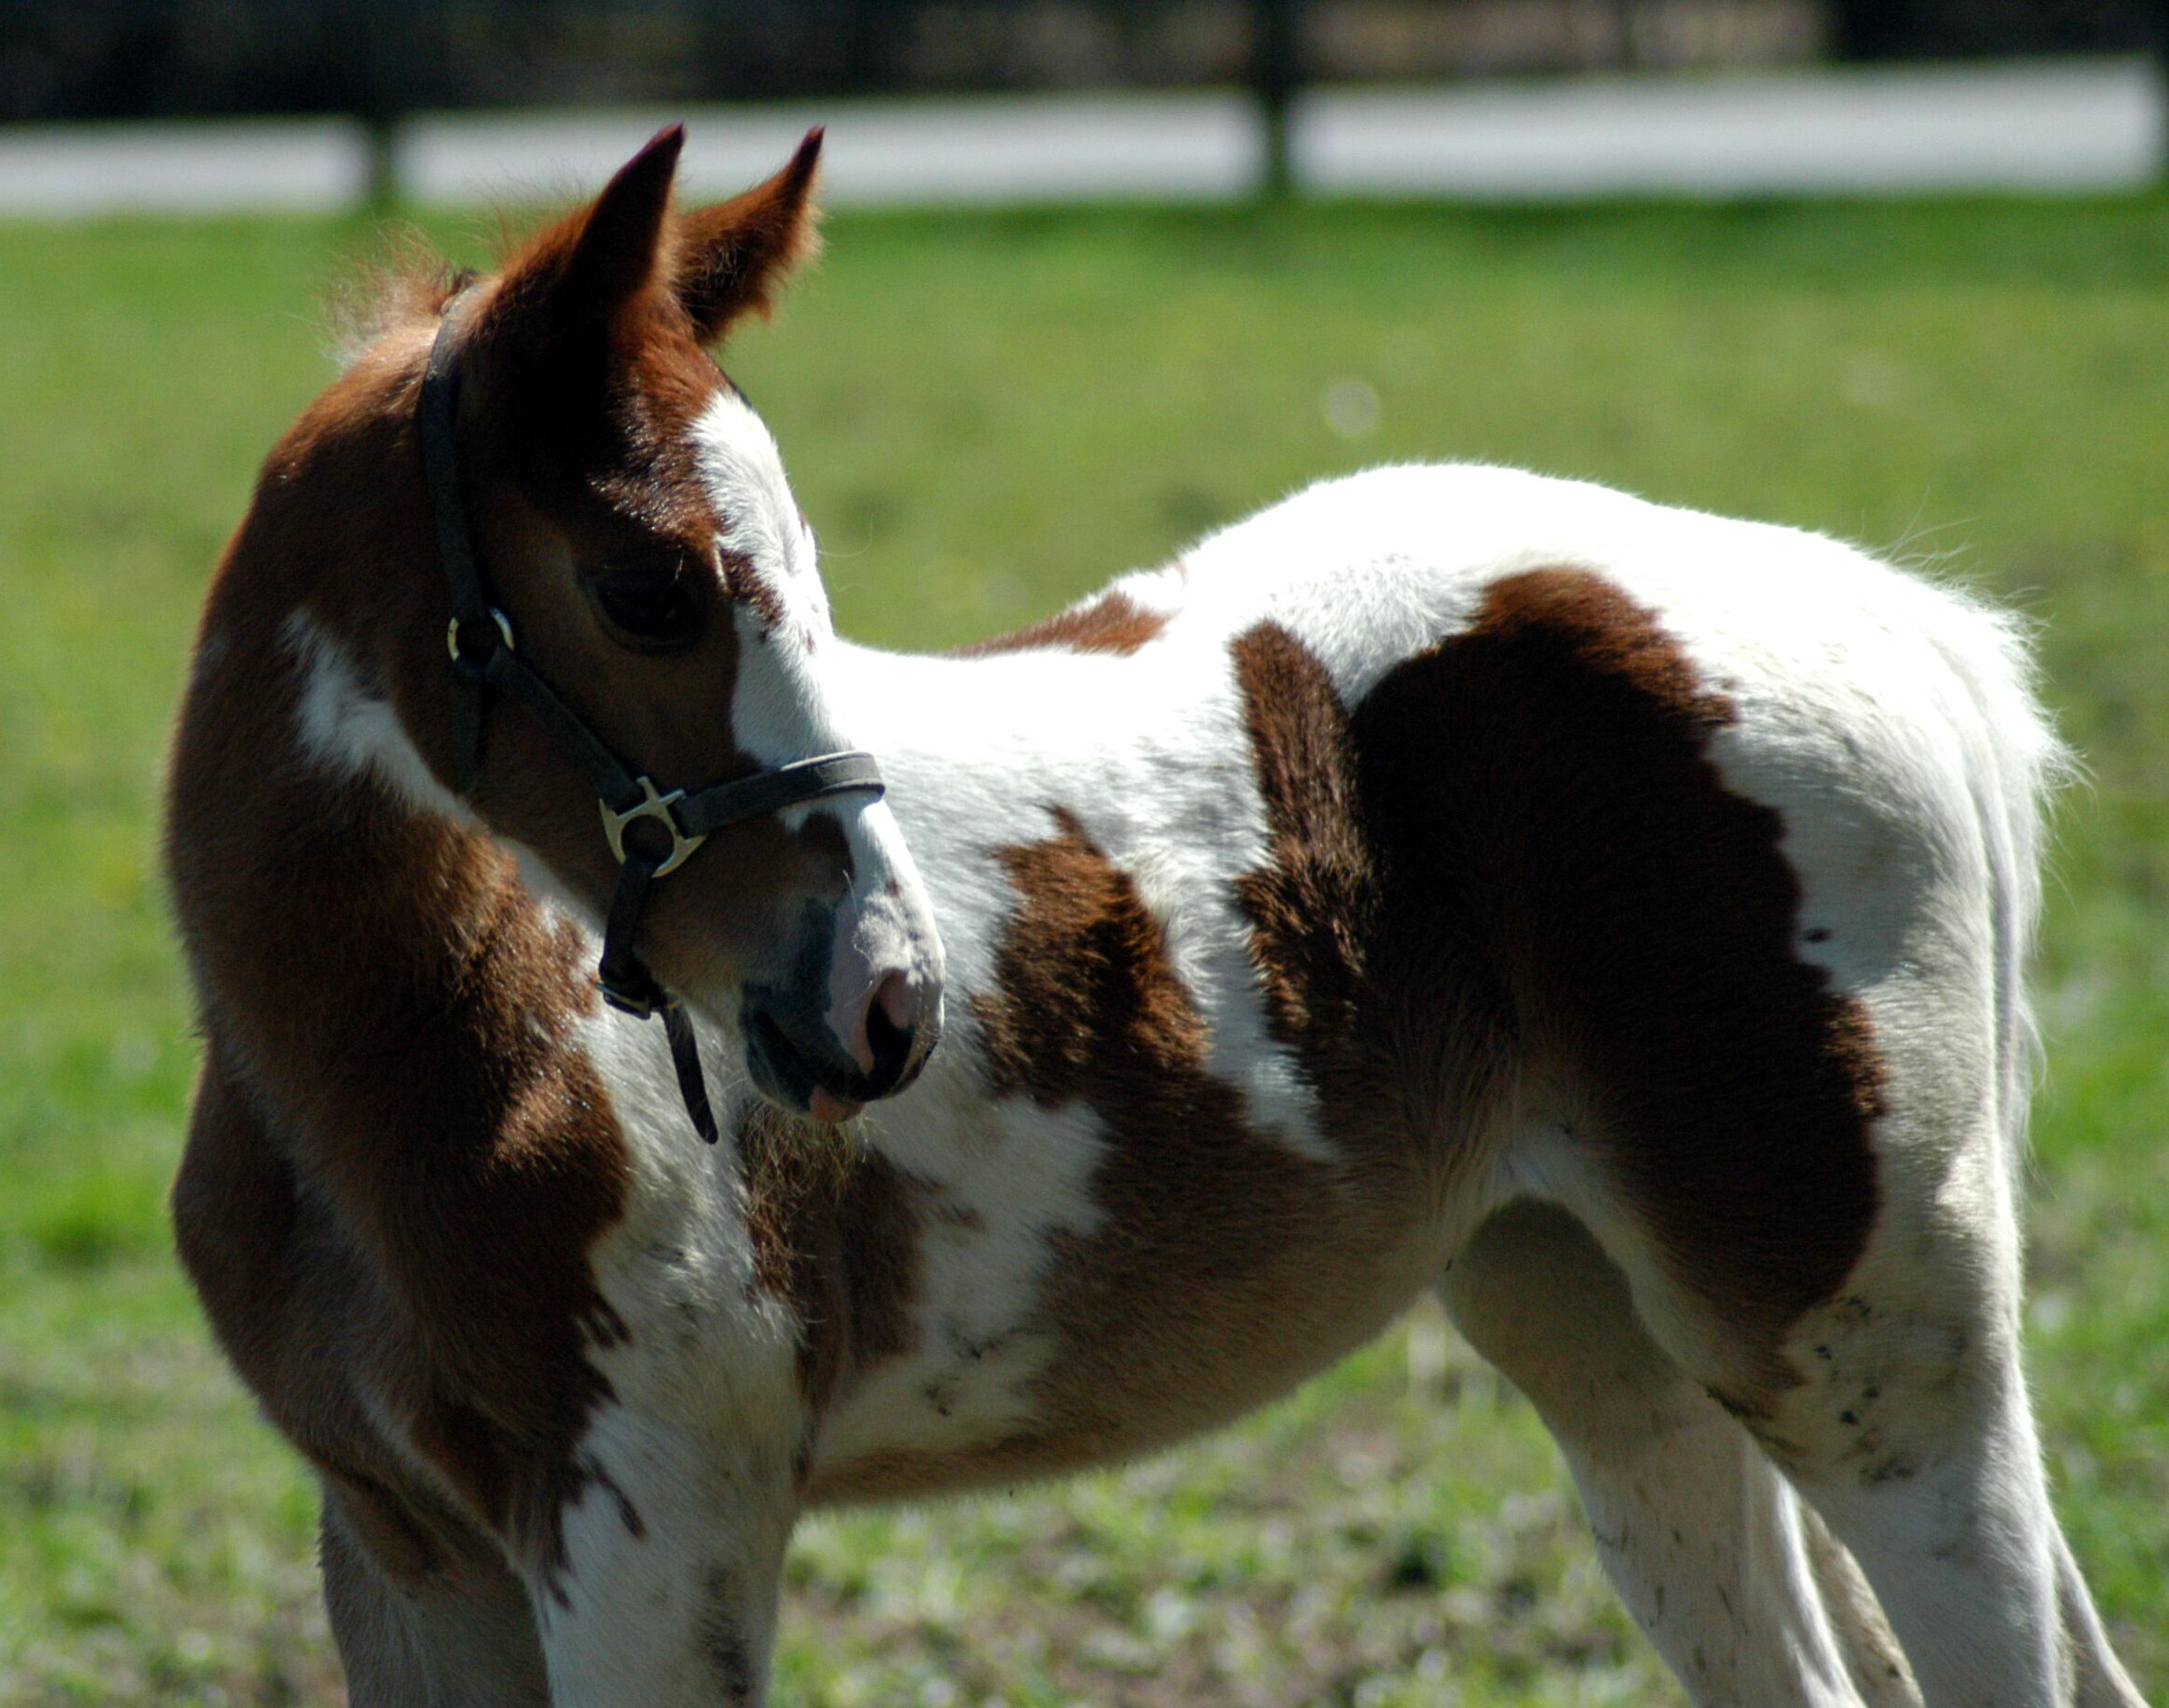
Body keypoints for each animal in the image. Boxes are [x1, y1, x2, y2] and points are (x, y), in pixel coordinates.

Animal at [164, 126, 2147, 1706]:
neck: (433, 1063)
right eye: (650, 586)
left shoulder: (652, 1535)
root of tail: (1884, 614)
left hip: (1869, 1352)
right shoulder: (408, 1557)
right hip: (1599, 1325)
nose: (886, 1001)